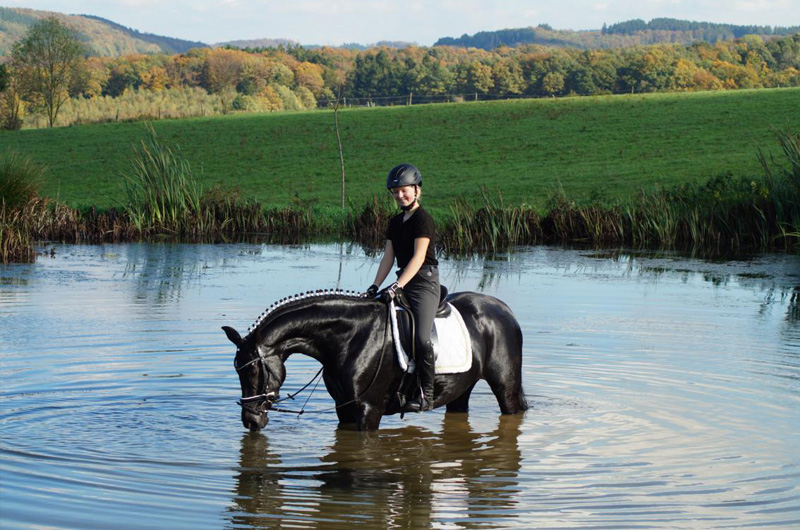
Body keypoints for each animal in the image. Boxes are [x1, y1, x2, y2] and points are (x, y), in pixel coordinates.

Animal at [222, 288, 528, 428]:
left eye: (252, 371)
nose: (250, 421)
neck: (350, 338)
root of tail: (504, 309)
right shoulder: (344, 408)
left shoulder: (369, 410)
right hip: (460, 388)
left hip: (505, 387)